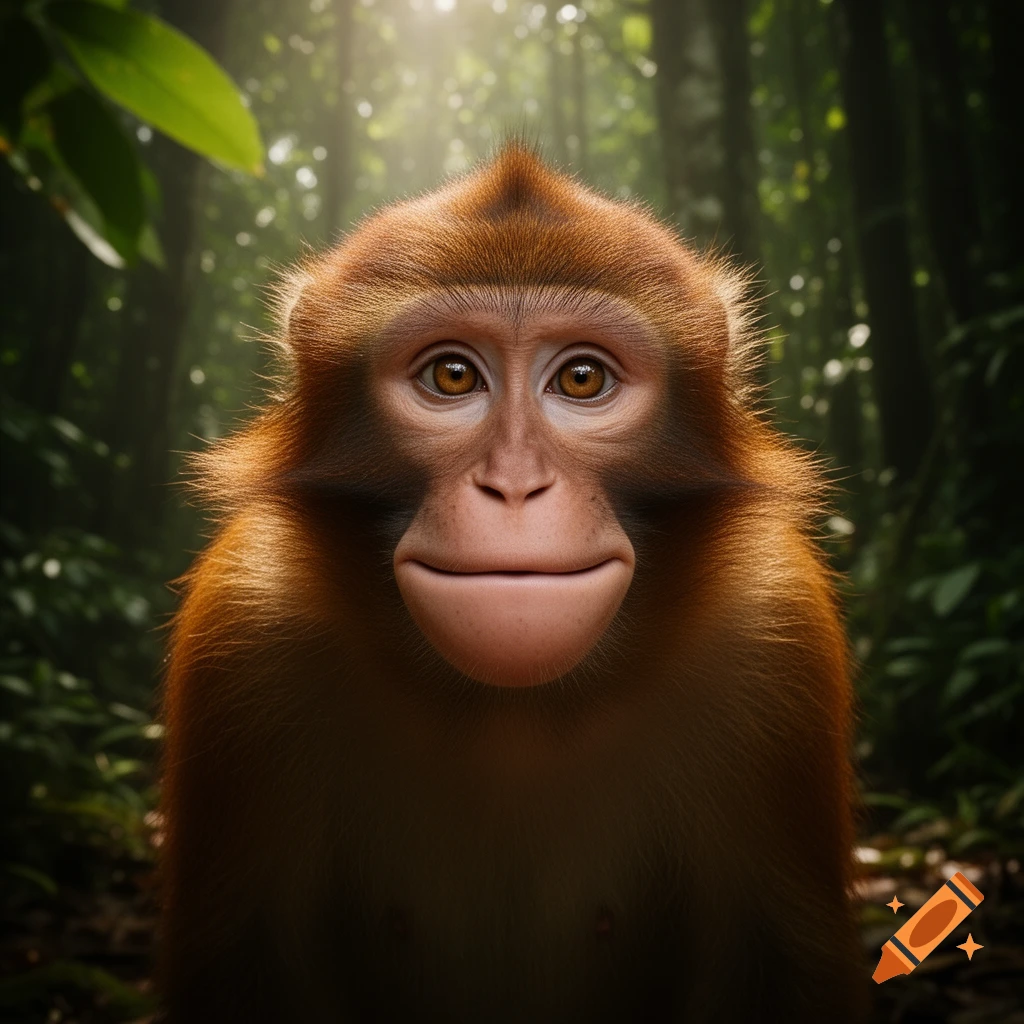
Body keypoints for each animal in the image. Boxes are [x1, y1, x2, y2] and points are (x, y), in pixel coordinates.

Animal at [159, 144, 868, 1023]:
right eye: (453, 376)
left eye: (583, 380)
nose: (516, 485)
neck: (513, 711)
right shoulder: (247, 622)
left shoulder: (774, 630)